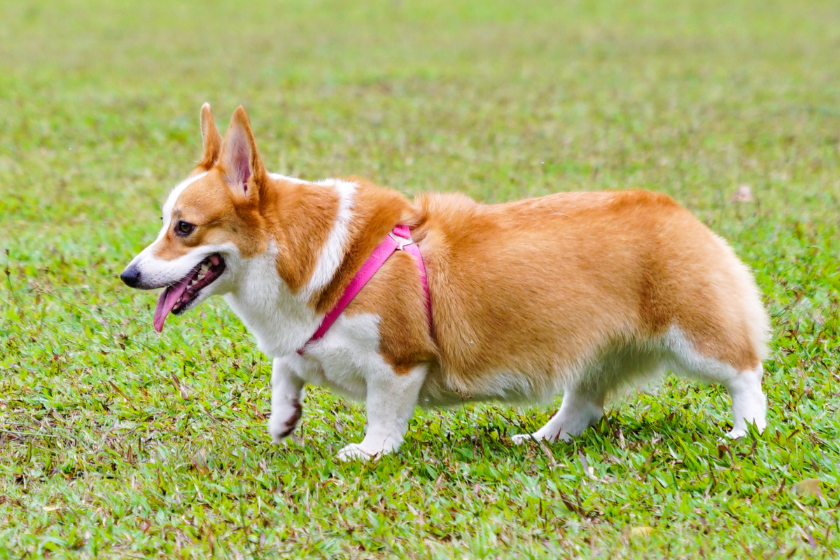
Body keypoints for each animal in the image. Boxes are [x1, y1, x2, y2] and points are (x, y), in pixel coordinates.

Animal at [121, 104, 772, 460]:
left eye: (184, 228)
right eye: (164, 223)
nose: (129, 275)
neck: (303, 252)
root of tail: (682, 213)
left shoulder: (398, 361)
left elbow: (383, 413)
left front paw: (369, 451)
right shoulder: (306, 341)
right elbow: (287, 367)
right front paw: (284, 418)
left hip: (695, 337)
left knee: (745, 373)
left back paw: (746, 431)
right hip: (594, 350)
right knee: (584, 399)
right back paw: (544, 438)